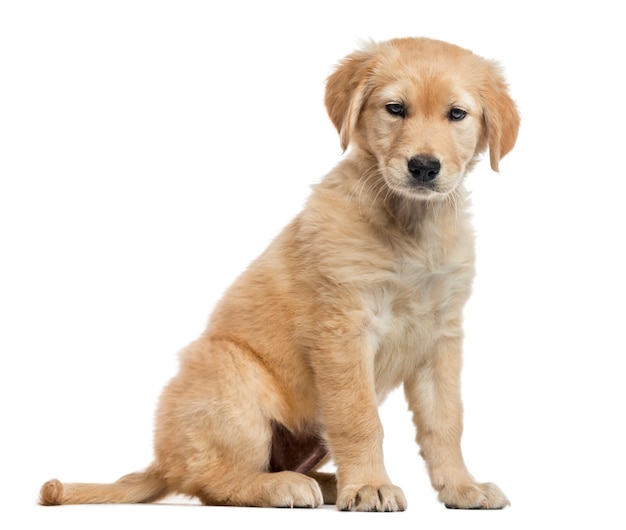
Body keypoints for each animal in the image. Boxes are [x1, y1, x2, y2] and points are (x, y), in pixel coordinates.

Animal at [39, 36, 516, 508]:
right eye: (395, 109)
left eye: (457, 114)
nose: (423, 167)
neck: (411, 225)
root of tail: (163, 460)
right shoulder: (343, 329)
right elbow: (359, 418)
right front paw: (369, 486)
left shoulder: (441, 335)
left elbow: (446, 421)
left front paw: (462, 487)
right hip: (230, 371)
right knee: (214, 482)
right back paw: (284, 486)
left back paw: (323, 482)